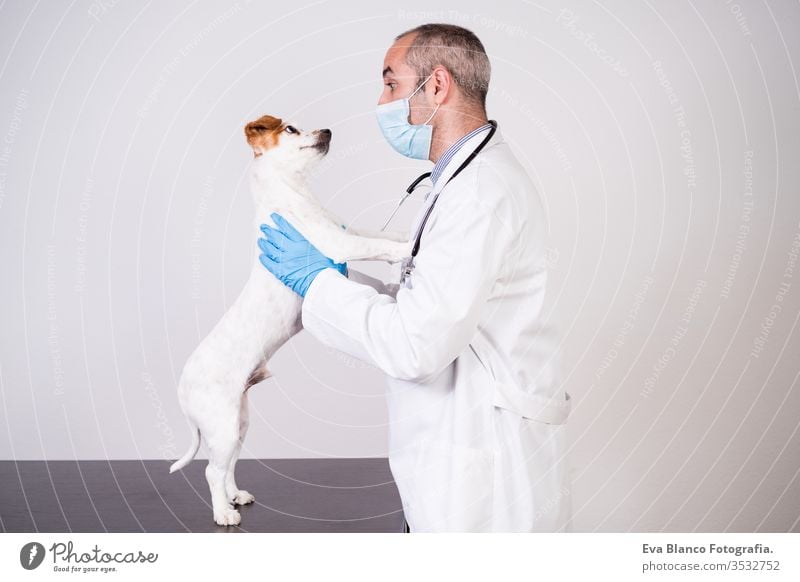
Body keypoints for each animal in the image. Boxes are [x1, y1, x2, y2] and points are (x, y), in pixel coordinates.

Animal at [168, 115, 406, 528]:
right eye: (292, 129)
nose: (328, 131)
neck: (297, 198)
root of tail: (183, 388)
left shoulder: (346, 241)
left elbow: (379, 235)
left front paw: (406, 236)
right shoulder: (341, 245)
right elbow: (379, 246)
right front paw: (408, 249)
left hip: (238, 423)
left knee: (227, 467)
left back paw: (235, 496)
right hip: (223, 424)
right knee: (212, 470)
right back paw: (223, 513)